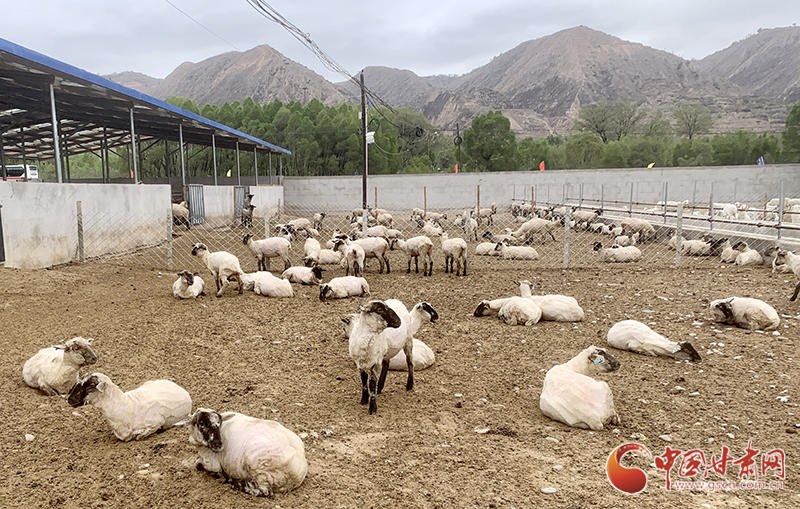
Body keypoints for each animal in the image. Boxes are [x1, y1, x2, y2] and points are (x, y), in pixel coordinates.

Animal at [177, 409, 307, 497]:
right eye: (201, 424)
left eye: (219, 424)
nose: (218, 445)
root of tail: (300, 469)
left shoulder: (212, 464)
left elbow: (198, 464)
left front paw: (221, 476)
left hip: (259, 466)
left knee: (265, 492)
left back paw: (237, 484)